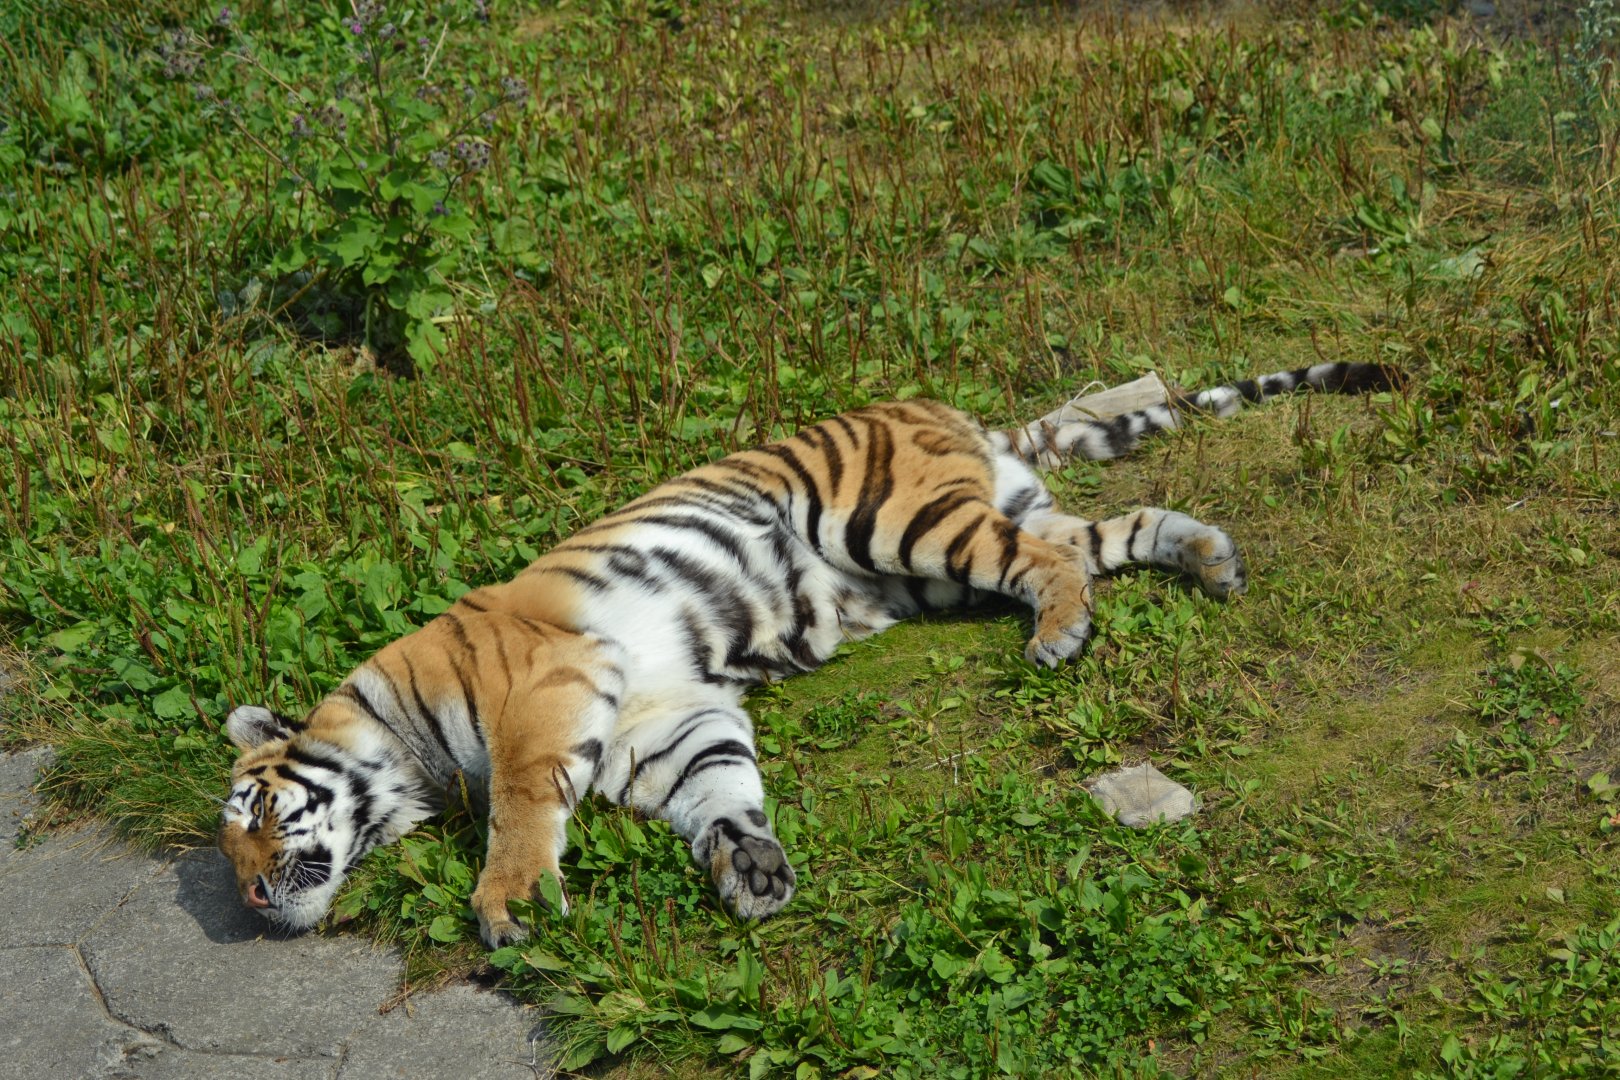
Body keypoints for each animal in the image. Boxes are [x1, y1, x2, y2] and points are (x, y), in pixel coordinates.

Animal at [220, 361, 1397, 948]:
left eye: (256, 816)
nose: (252, 904)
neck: (407, 758)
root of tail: (954, 414)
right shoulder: (662, 721)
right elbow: (718, 789)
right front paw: (750, 868)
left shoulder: (546, 694)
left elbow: (520, 808)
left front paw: (504, 905)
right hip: (966, 543)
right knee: (1093, 537)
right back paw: (1209, 559)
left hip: (898, 523)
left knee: (1045, 560)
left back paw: (1061, 633)